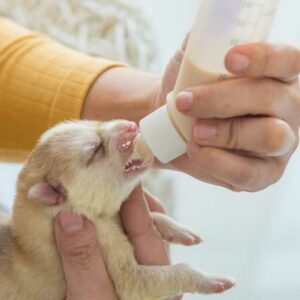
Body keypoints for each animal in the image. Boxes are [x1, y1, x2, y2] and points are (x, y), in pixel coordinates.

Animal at [0, 120, 236, 300]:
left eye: (95, 123)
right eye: (96, 149)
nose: (131, 125)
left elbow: (155, 216)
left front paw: (179, 230)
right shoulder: (114, 255)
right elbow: (176, 271)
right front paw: (211, 279)